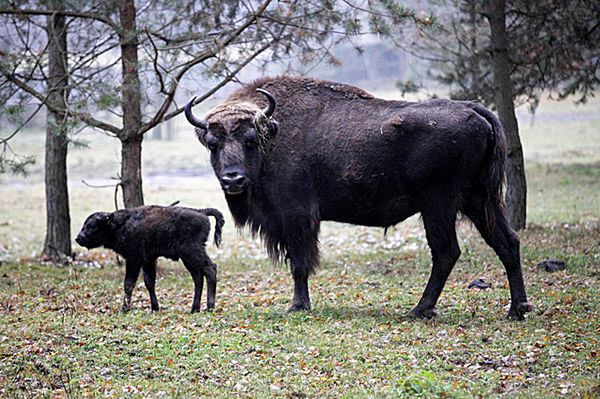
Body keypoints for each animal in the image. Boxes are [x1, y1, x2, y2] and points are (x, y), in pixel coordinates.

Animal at [75, 208, 225, 314]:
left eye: (92, 225)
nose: (78, 238)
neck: (118, 225)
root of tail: (202, 212)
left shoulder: (133, 259)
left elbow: (129, 284)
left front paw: (124, 309)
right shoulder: (148, 260)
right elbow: (149, 283)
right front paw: (154, 308)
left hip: (192, 252)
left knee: (210, 269)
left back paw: (209, 307)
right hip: (187, 258)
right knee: (198, 277)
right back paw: (194, 309)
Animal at [185, 76, 532, 322]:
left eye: (249, 140)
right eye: (213, 143)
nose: (233, 179)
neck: (273, 134)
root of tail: (476, 110)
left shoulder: (297, 216)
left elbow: (299, 262)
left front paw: (298, 305)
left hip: (439, 205)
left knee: (446, 252)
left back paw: (419, 310)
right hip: (480, 201)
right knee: (507, 243)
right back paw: (517, 309)